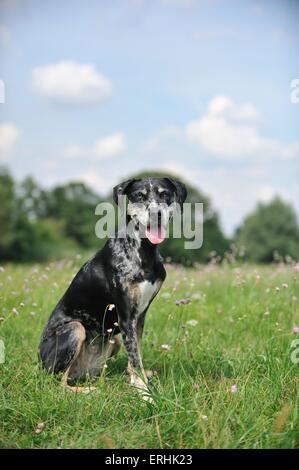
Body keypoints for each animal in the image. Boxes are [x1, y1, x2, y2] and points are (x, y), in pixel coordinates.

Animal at [38, 176, 186, 400]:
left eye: (165, 194)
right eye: (139, 196)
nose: (156, 214)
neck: (144, 251)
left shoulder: (139, 316)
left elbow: (136, 355)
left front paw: (138, 381)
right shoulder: (126, 315)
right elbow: (135, 358)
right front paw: (145, 394)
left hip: (113, 340)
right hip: (75, 329)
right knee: (58, 382)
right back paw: (88, 390)